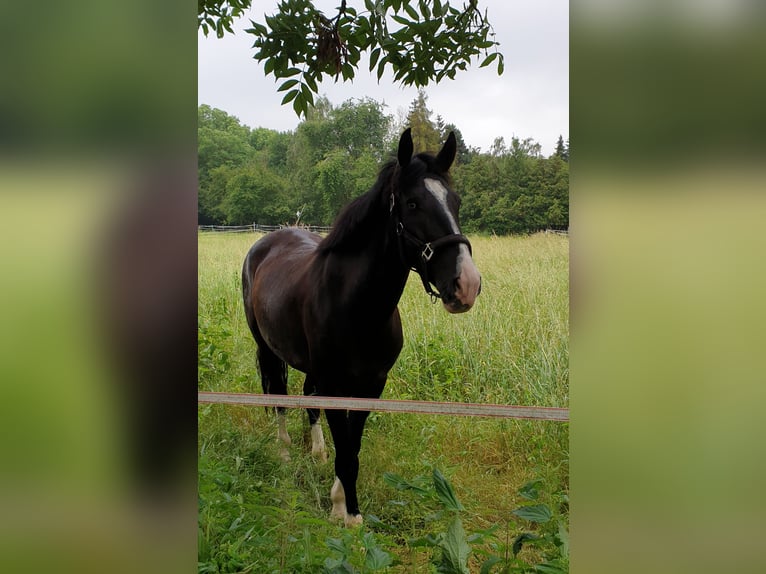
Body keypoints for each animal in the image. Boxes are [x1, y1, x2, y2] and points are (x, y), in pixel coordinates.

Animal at [242, 128, 480, 528]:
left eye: (456, 201)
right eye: (412, 204)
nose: (467, 284)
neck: (357, 306)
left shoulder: (371, 386)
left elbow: (351, 448)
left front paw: (346, 505)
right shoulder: (336, 384)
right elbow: (345, 448)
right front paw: (344, 512)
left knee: (307, 399)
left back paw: (316, 451)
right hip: (268, 349)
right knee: (278, 396)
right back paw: (285, 451)